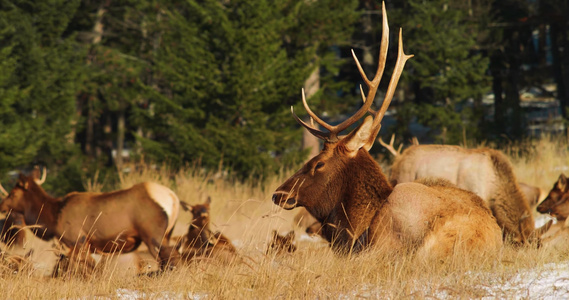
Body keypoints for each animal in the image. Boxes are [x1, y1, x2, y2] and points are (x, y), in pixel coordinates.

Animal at [0, 171, 180, 276]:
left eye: (13, 193)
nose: (2, 205)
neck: (54, 216)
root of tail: (173, 198)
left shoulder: (78, 241)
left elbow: (88, 269)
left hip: (153, 236)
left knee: (169, 258)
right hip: (166, 234)